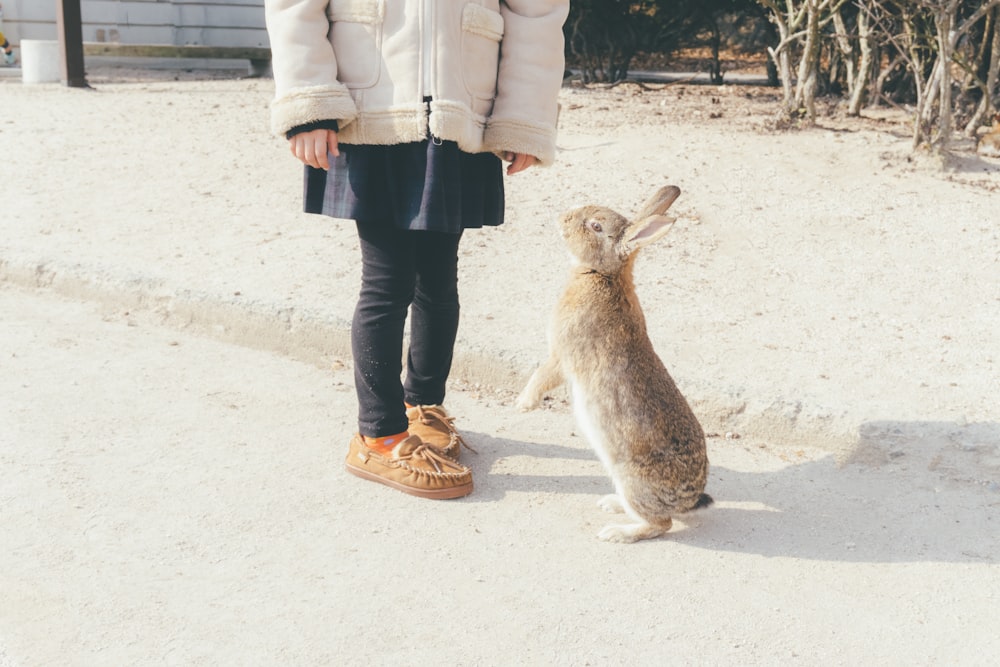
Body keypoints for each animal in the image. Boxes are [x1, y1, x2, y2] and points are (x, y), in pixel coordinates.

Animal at [516, 187, 712, 544]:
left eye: (595, 226)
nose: (563, 217)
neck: (603, 276)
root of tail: (689, 499)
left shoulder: (563, 354)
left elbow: (543, 375)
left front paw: (523, 403)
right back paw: (612, 505)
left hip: (631, 480)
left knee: (660, 524)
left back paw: (617, 533)